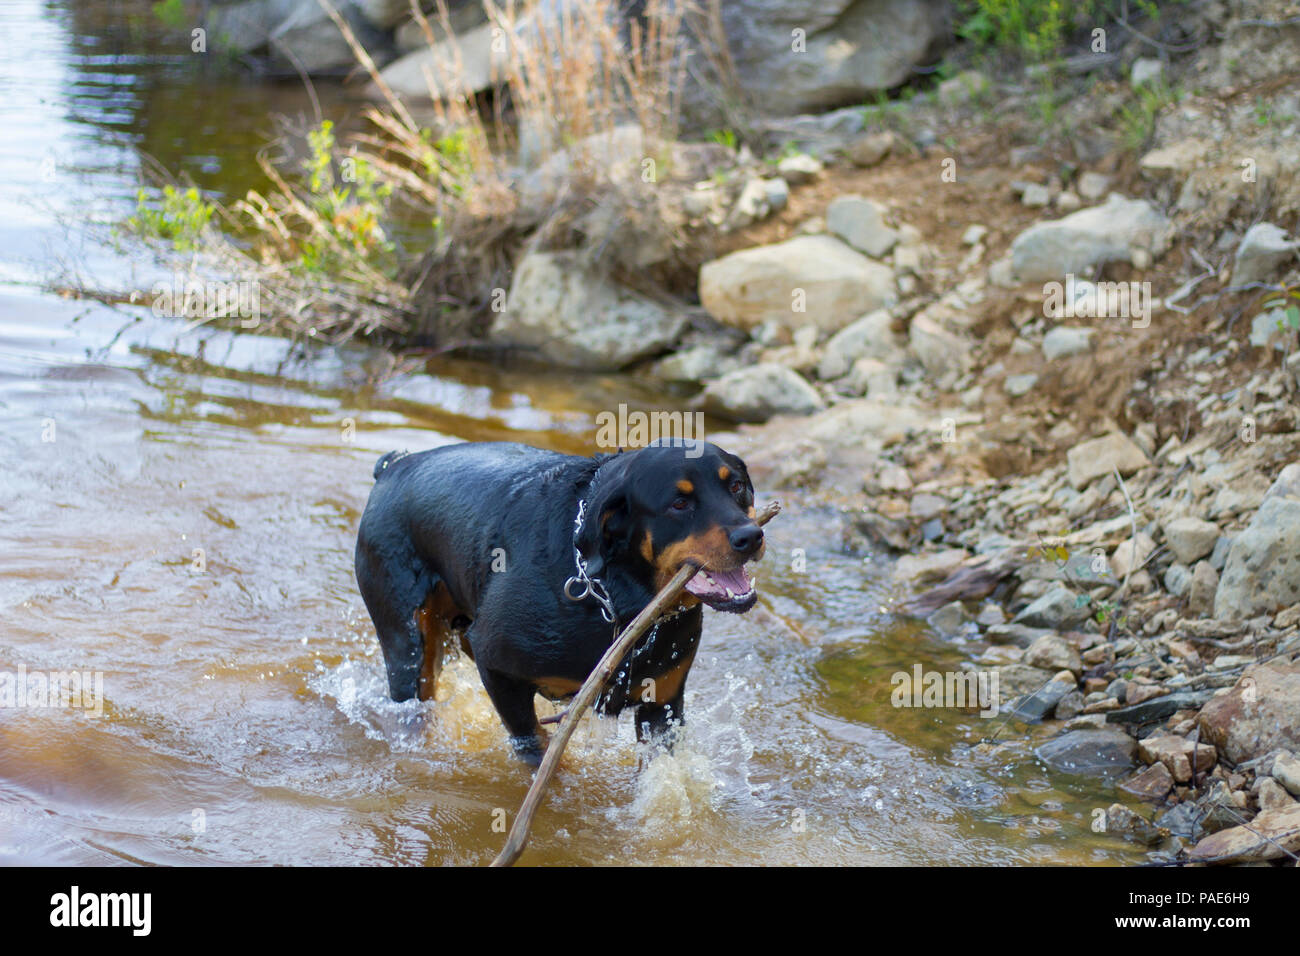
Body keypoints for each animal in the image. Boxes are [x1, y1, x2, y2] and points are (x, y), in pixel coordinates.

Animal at [351, 439, 764, 764]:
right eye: (679, 503)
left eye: (737, 486)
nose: (750, 536)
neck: (619, 600)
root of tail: (393, 467)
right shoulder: (497, 666)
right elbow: (535, 741)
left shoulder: (663, 705)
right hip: (407, 643)